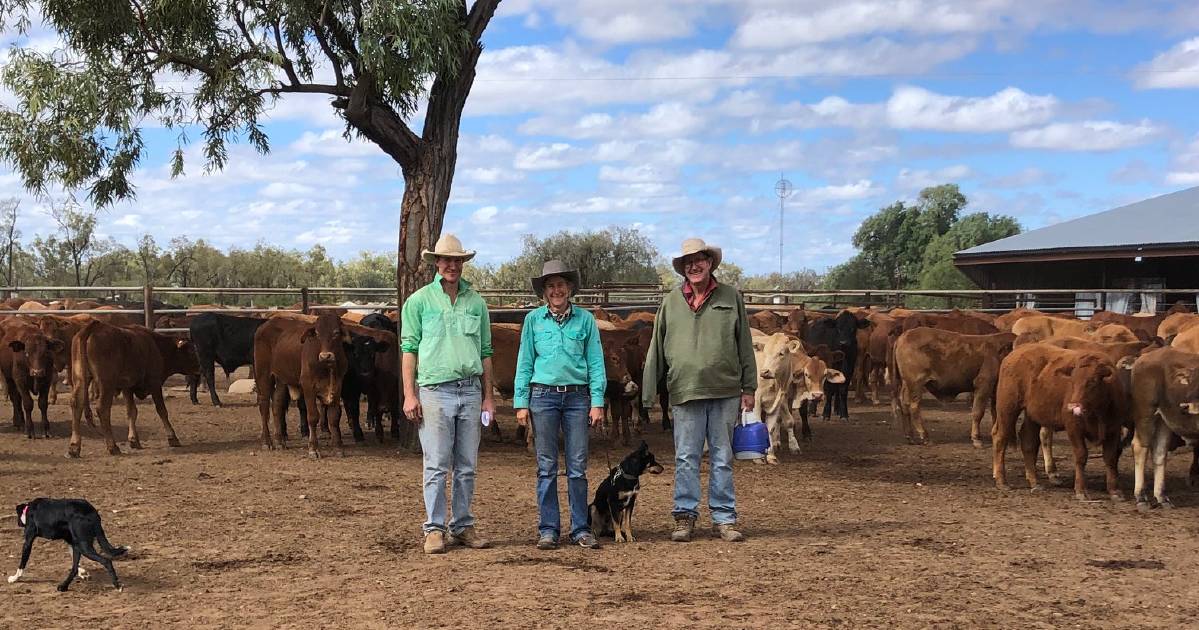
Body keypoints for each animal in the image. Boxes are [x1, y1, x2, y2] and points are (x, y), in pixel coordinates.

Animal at [65, 319, 190, 456]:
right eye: (192, 349)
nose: (200, 367)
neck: (156, 346)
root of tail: (93, 327)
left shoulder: (127, 387)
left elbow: (131, 411)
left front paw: (134, 440)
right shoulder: (155, 383)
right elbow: (162, 410)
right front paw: (173, 438)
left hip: (80, 379)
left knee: (77, 404)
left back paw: (74, 447)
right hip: (106, 384)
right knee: (103, 408)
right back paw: (113, 446)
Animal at [250, 314, 347, 456]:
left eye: (336, 333)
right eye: (317, 334)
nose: (325, 356)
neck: (327, 367)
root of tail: (264, 325)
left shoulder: (337, 386)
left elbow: (334, 418)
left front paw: (338, 448)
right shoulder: (308, 386)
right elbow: (313, 416)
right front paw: (313, 449)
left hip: (281, 379)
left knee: (277, 406)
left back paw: (279, 442)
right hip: (263, 375)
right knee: (264, 406)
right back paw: (266, 442)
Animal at [992, 343, 1122, 501]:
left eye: (1092, 382)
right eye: (1072, 381)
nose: (1072, 406)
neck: (1098, 411)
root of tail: (1015, 353)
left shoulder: (1114, 429)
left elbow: (1110, 458)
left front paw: (1114, 491)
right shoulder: (1074, 428)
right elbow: (1081, 455)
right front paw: (1081, 491)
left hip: (1032, 415)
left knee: (1028, 442)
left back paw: (1035, 483)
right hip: (1007, 408)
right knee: (1000, 438)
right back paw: (1002, 481)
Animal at [1127, 345, 1199, 508]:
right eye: (1192, 381)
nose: (1185, 406)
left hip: (1163, 421)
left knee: (1159, 452)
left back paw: (1161, 497)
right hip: (1146, 414)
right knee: (1140, 447)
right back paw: (1141, 497)